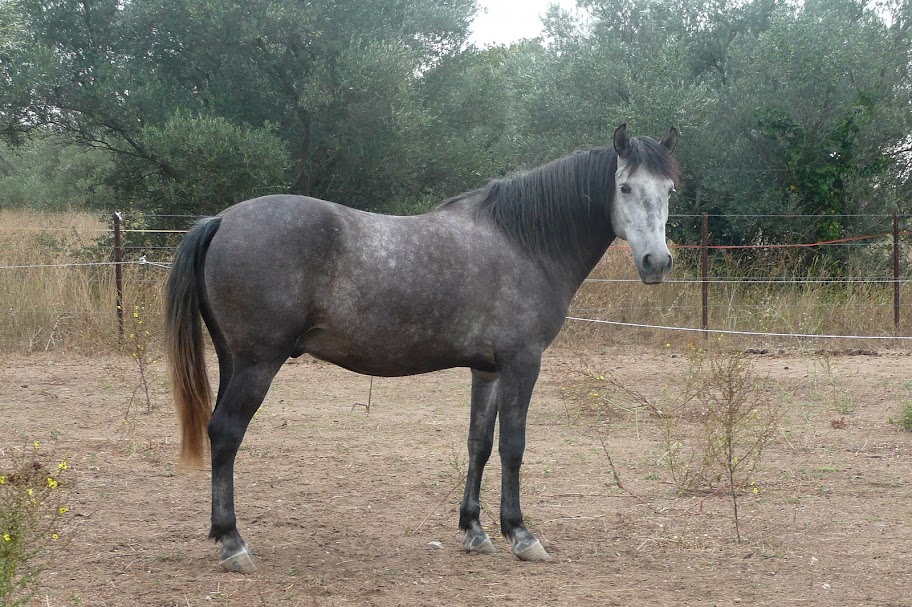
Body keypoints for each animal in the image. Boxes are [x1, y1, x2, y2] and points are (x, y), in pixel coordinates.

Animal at [165, 124, 679, 573]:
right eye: (625, 188)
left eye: (670, 190)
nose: (657, 262)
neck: (524, 243)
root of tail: (222, 219)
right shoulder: (522, 363)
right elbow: (513, 446)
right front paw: (520, 534)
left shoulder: (488, 370)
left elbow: (479, 444)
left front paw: (475, 530)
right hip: (258, 364)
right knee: (226, 433)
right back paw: (233, 543)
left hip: (232, 361)